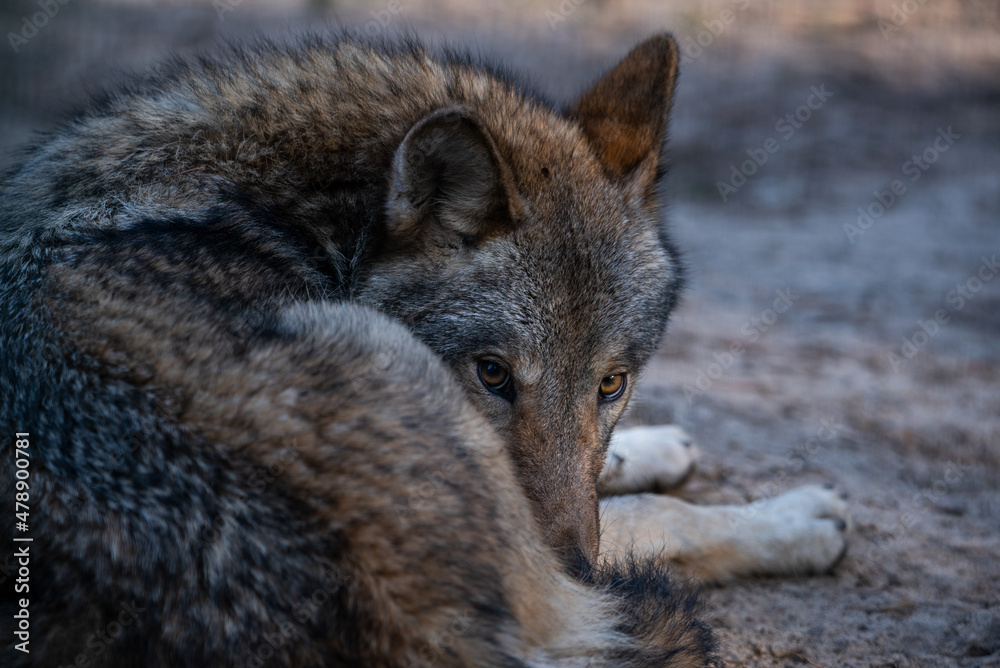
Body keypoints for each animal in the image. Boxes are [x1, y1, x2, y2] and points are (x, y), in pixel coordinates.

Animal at [0, 30, 846, 666]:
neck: (282, 209)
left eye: (612, 385)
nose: (575, 565)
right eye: (493, 374)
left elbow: (605, 479)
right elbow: (643, 514)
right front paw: (792, 520)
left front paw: (657, 445)